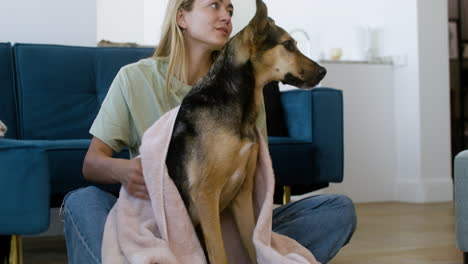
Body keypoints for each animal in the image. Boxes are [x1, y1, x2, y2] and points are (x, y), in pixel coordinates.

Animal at [166, 0, 328, 262]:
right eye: (288, 45)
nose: (324, 71)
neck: (238, 101)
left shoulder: (243, 194)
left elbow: (254, 245)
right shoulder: (205, 195)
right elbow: (220, 254)